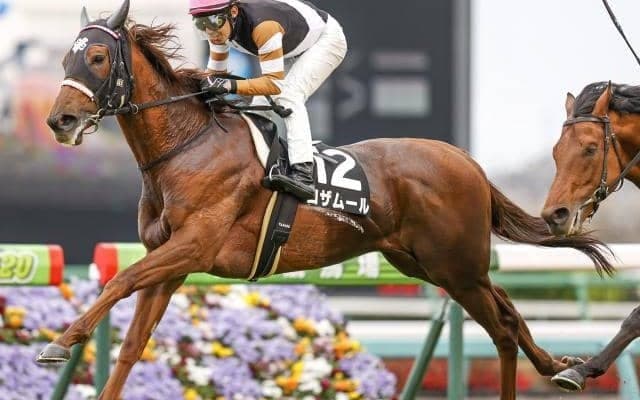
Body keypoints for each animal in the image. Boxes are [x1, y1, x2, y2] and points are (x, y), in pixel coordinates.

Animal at [39, 1, 612, 399]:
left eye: (96, 57)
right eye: (66, 57)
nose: (59, 120)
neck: (187, 146)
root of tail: (467, 161)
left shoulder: (194, 246)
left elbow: (119, 279)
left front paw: (60, 341)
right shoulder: (172, 261)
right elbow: (133, 343)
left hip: (457, 266)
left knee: (504, 329)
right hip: (432, 264)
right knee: (509, 313)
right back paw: (560, 367)